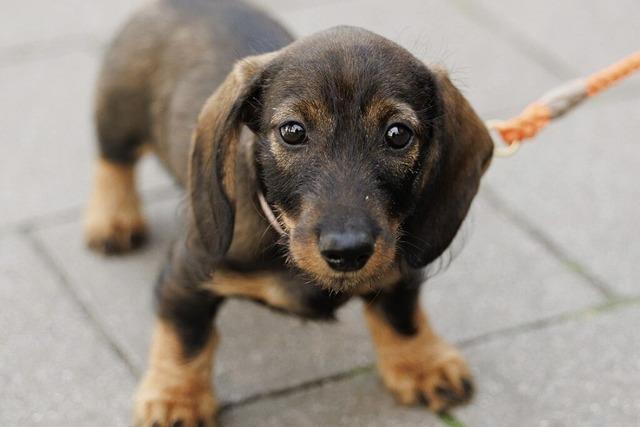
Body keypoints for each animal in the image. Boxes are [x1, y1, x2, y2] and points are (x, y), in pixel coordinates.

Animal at [84, 0, 496, 424]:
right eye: (293, 131)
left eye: (398, 135)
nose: (347, 251)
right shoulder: (186, 274)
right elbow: (185, 338)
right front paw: (176, 398)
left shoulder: (398, 262)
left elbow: (402, 315)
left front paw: (423, 364)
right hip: (118, 114)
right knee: (113, 162)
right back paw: (113, 217)